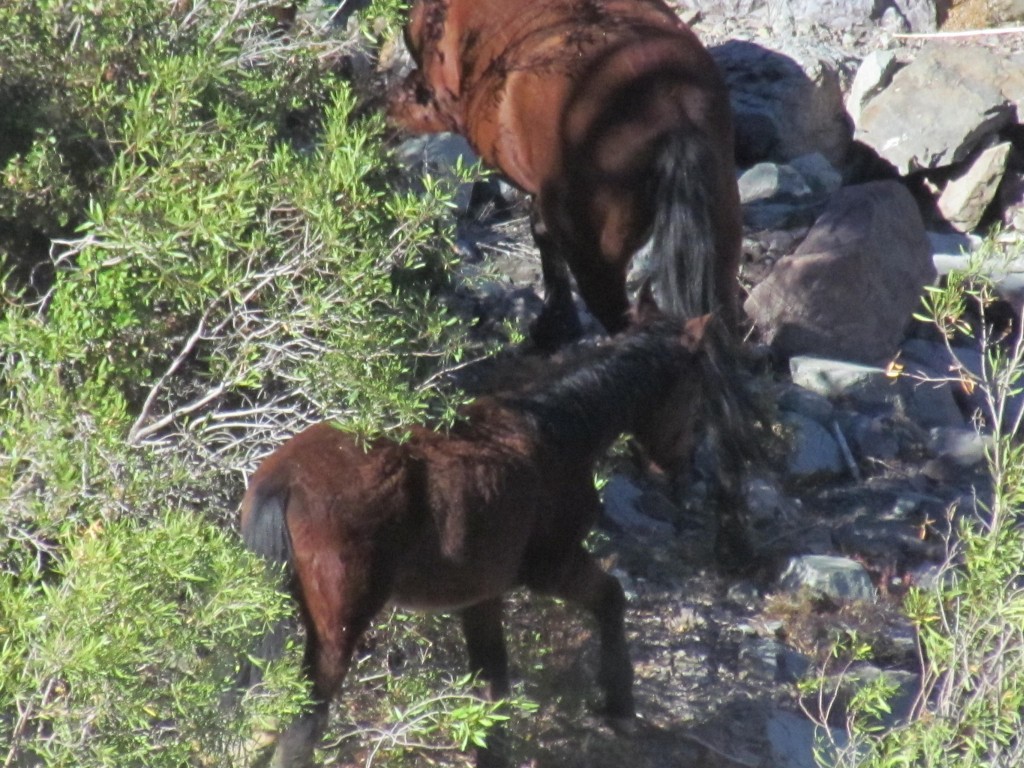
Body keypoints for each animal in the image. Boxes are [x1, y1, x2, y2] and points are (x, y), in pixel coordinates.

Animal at [239, 303, 737, 765]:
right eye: (697, 393)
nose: (683, 468)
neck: (556, 429)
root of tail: (285, 481)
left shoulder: (480, 597)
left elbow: (491, 691)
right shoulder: (554, 567)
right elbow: (611, 598)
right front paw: (620, 705)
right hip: (336, 632)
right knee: (299, 727)